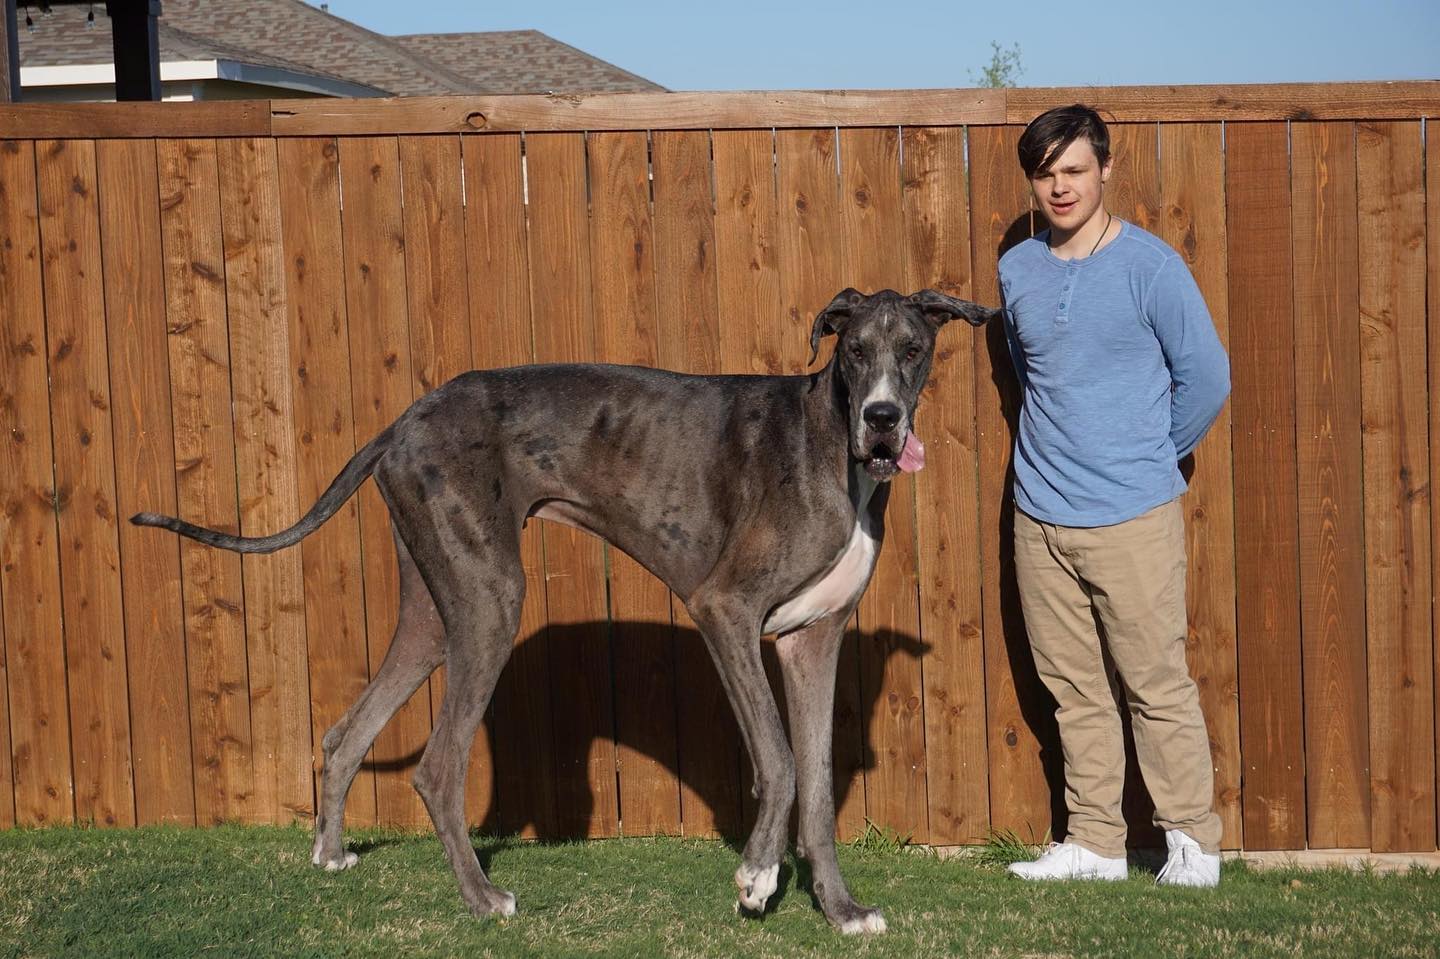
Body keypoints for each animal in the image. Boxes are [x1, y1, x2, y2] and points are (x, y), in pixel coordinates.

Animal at [129, 287, 996, 927]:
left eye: (913, 350)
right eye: (853, 351)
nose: (882, 419)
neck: (830, 441)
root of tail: (402, 421)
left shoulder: (812, 640)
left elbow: (816, 785)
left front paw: (842, 909)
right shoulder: (725, 609)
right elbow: (780, 762)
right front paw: (755, 877)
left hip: (435, 610)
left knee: (346, 733)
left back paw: (334, 855)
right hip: (490, 602)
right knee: (437, 766)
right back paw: (484, 898)